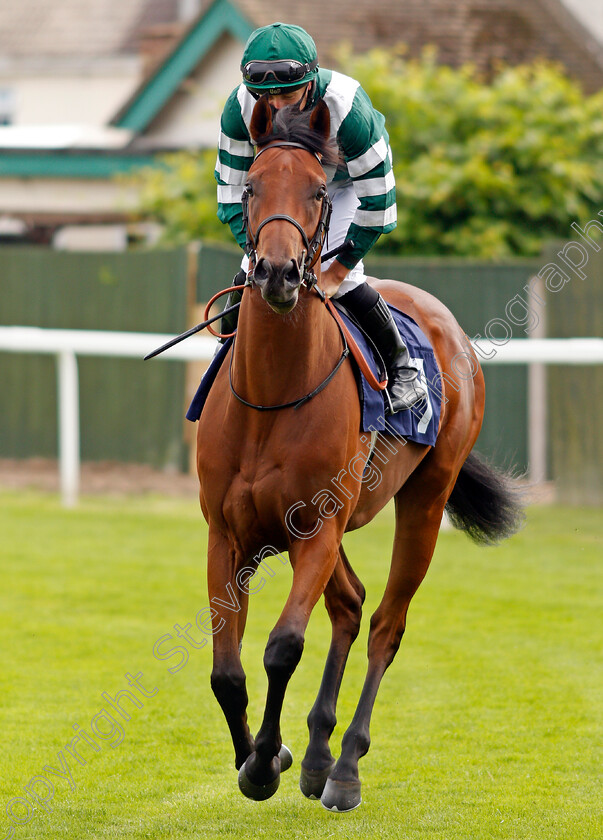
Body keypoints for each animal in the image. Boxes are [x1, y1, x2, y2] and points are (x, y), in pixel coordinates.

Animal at [195, 95, 524, 812]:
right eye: (251, 186)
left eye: (319, 191)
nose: (277, 273)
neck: (271, 396)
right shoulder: (228, 533)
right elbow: (226, 671)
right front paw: (264, 754)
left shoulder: (316, 531)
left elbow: (282, 646)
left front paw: (264, 763)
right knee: (348, 606)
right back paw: (318, 751)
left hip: (423, 501)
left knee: (384, 623)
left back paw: (344, 765)